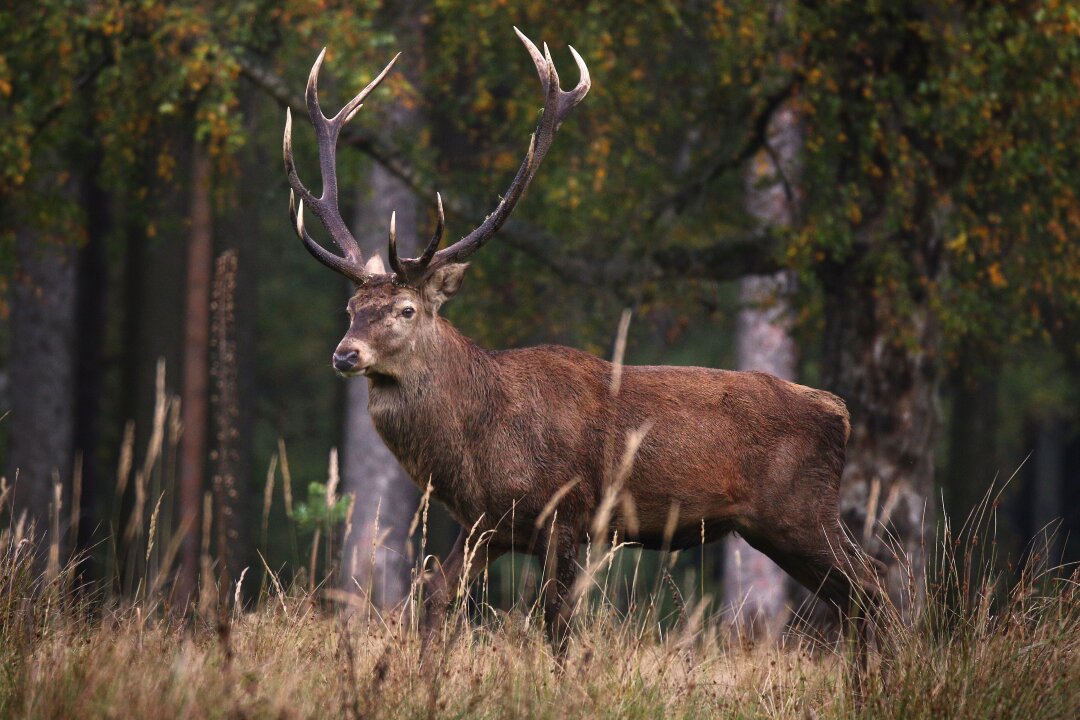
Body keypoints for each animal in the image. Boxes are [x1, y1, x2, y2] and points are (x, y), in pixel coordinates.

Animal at [282, 29, 881, 651]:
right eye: (351, 309)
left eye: (405, 309)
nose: (345, 353)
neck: (477, 443)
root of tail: (838, 412)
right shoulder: (488, 525)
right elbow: (435, 596)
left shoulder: (566, 512)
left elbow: (557, 621)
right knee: (861, 593)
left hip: (801, 511)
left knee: (873, 586)